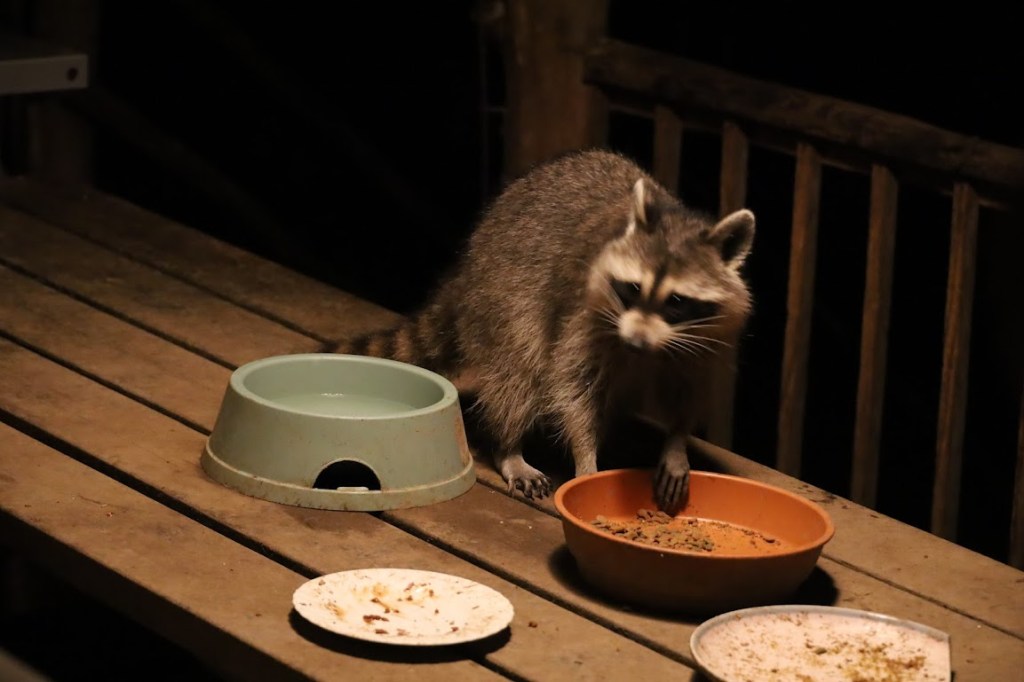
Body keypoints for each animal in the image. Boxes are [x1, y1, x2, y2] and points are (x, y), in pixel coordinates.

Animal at [337, 149, 755, 510]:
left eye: (676, 301)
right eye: (634, 288)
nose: (635, 341)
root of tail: (470, 260)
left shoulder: (706, 339)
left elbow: (687, 388)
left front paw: (676, 442)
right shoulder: (582, 315)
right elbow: (572, 383)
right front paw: (585, 458)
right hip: (505, 292)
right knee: (519, 368)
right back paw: (508, 446)